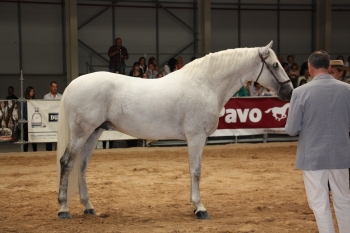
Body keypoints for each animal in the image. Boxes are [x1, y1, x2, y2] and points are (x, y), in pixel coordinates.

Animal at [56, 41, 292, 219]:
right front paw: (200, 208)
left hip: (93, 133)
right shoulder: (196, 137)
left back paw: (88, 206)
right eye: (275, 65)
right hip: (81, 133)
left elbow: (191, 170)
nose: (289, 91)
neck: (205, 84)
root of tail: (72, 85)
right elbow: (196, 170)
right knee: (67, 163)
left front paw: (194, 205)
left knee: (82, 166)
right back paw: (63, 209)